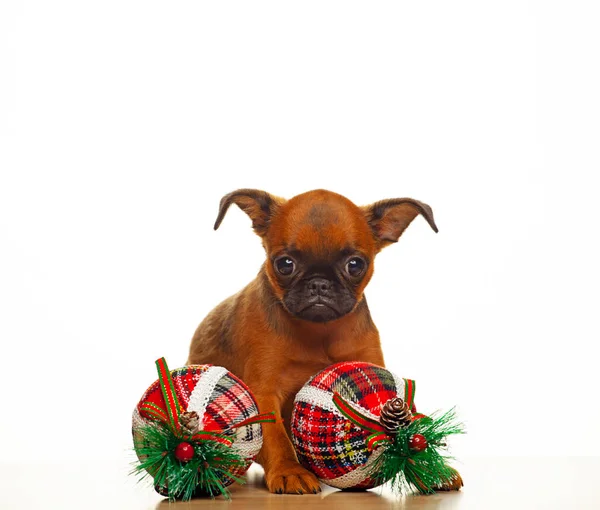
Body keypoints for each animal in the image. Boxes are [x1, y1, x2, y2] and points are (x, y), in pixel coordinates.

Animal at [188, 188, 464, 494]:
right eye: (284, 264)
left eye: (355, 265)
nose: (319, 283)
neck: (319, 333)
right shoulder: (264, 392)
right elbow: (276, 436)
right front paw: (289, 470)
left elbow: (405, 433)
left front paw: (429, 468)